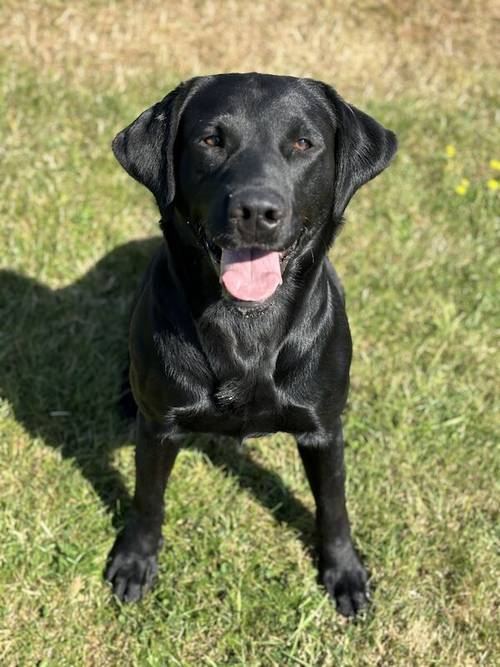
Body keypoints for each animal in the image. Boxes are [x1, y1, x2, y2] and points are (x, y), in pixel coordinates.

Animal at [103, 70, 396, 620]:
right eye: (211, 140)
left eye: (303, 143)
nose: (257, 211)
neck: (247, 327)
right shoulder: (160, 429)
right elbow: (148, 499)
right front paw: (134, 561)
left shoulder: (324, 430)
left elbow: (334, 505)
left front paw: (344, 573)